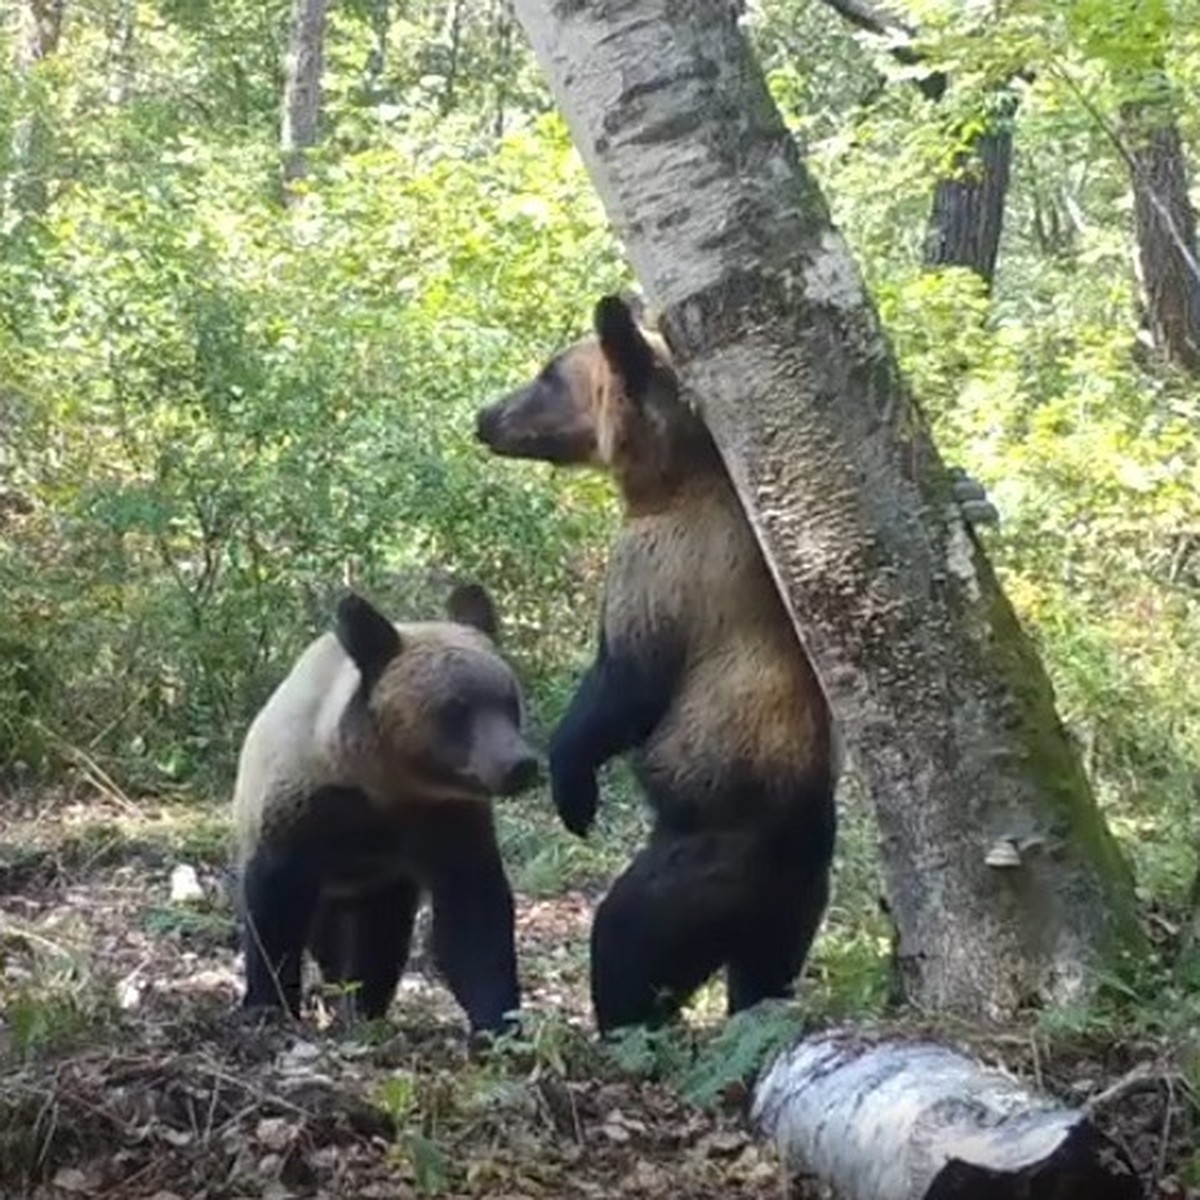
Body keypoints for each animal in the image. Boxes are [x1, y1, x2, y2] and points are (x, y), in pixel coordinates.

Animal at [230, 580, 540, 1032]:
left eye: (508, 700)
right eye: (456, 708)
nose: (520, 764)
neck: (383, 784)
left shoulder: (445, 819)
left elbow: (473, 913)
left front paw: (498, 1022)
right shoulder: (301, 809)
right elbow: (273, 906)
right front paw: (268, 1004)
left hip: (380, 886)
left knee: (379, 935)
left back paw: (361, 1007)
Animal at [472, 295, 840, 1036]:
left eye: (547, 373)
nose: (486, 417)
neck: (674, 480)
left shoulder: (661, 571)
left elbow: (624, 686)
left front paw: (573, 789)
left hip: (698, 867)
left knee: (627, 940)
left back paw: (625, 1021)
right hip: (796, 903)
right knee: (766, 969)